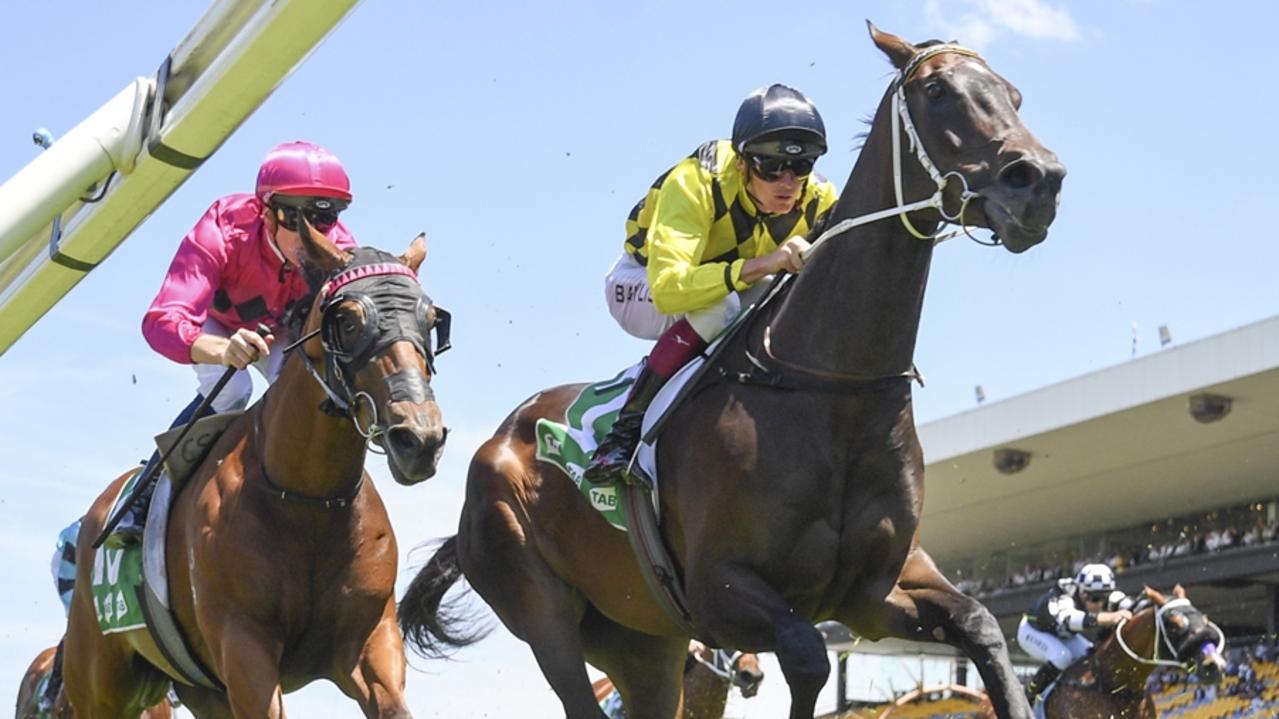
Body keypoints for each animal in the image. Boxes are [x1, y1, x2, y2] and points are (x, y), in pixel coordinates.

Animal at [62, 229, 450, 716]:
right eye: (348, 321)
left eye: (431, 320)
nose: (419, 438)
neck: (307, 499)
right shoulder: (245, 647)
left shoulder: (370, 642)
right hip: (100, 682)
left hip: (203, 689)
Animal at [401, 22, 1069, 716]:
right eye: (937, 92)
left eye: (1014, 94)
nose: (1038, 182)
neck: (835, 393)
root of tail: (497, 444)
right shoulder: (719, 589)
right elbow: (807, 655)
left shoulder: (875, 592)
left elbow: (981, 624)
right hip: (544, 612)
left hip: (642, 642)